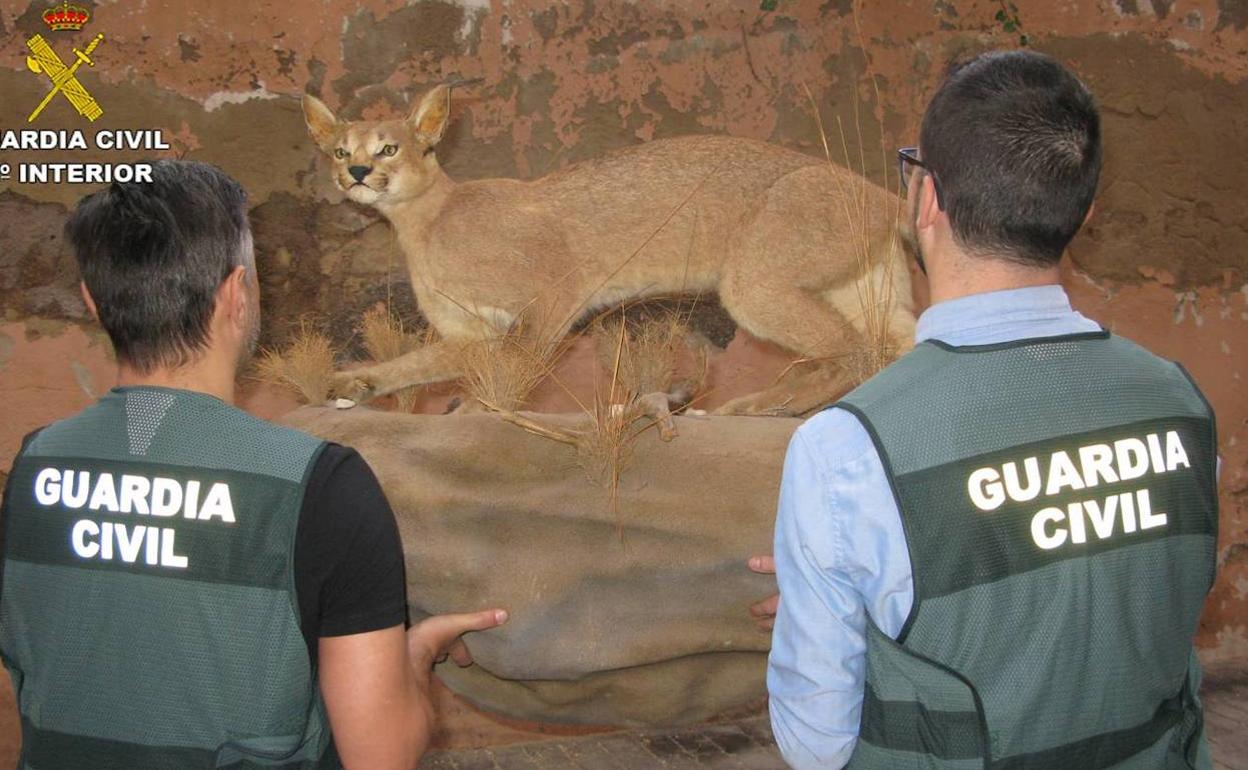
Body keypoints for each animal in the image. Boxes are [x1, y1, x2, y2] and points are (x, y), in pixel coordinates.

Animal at [302, 84, 918, 414]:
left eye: (389, 148)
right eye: (339, 150)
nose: (357, 173)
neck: (423, 221)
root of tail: (884, 195)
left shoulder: (552, 290)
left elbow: (516, 368)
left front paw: (480, 412)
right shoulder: (470, 334)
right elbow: (418, 363)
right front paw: (355, 382)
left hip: (756, 284)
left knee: (856, 350)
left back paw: (762, 405)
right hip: (861, 289)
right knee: (898, 348)